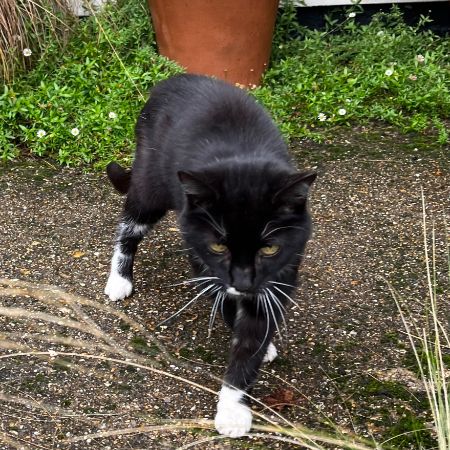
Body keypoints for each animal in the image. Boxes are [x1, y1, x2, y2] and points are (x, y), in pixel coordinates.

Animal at [105, 74, 316, 436]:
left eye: (269, 248)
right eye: (219, 246)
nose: (243, 283)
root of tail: (170, 80)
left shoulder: (285, 267)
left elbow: (252, 335)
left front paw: (236, 399)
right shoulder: (202, 253)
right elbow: (225, 301)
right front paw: (232, 412)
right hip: (150, 179)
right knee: (131, 223)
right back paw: (119, 279)